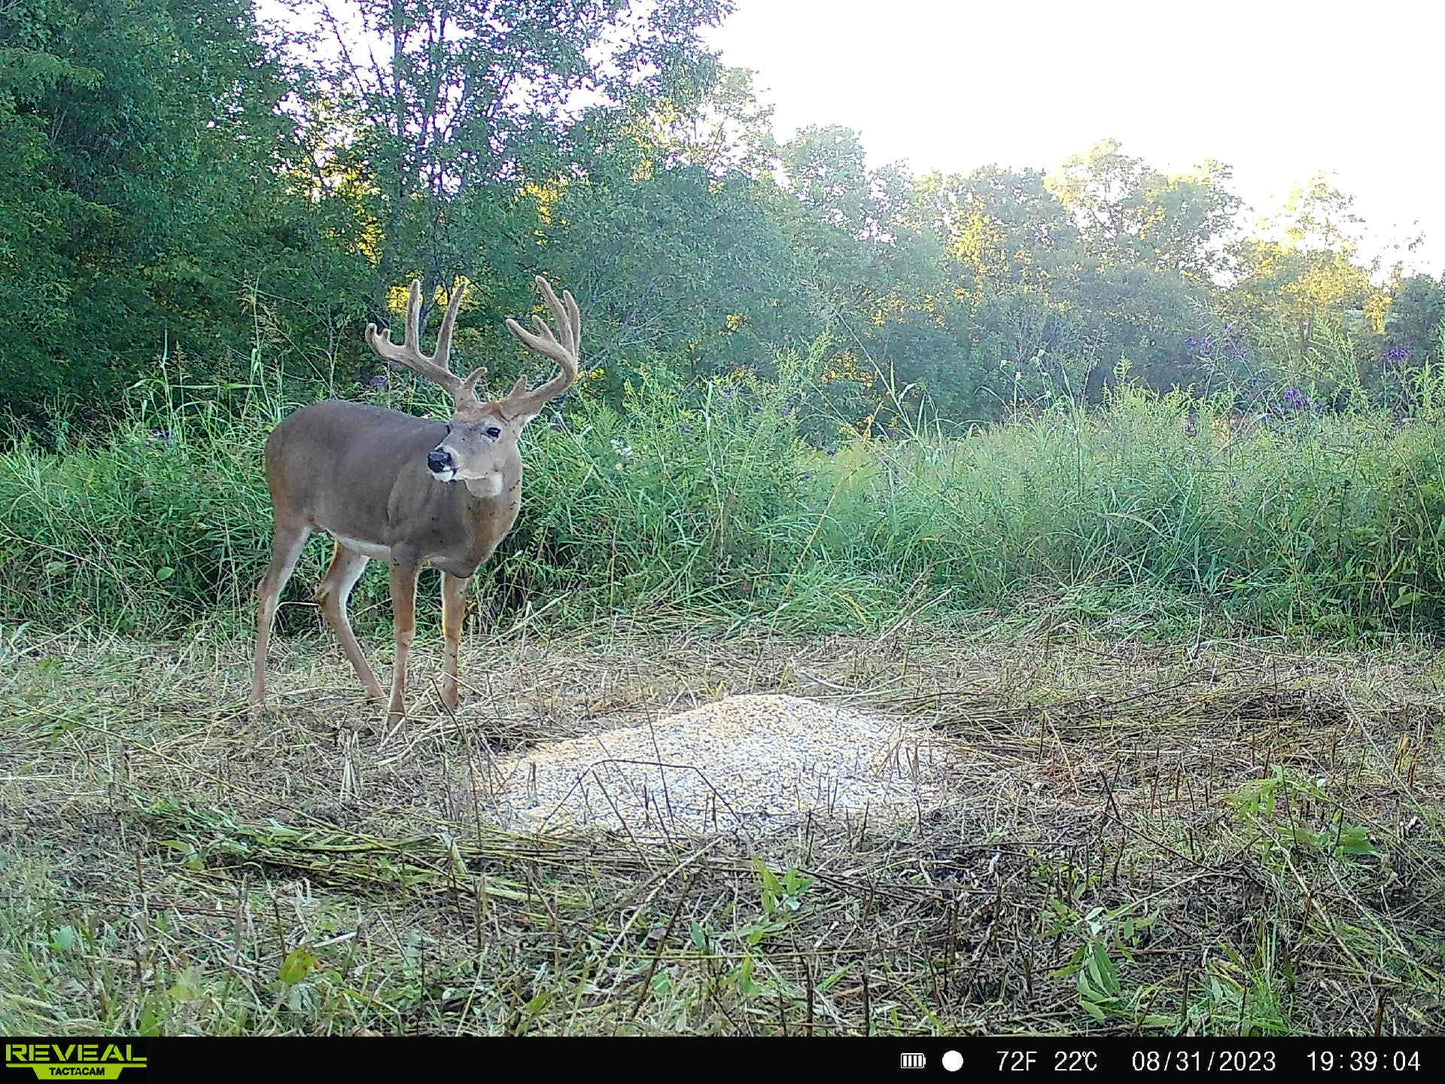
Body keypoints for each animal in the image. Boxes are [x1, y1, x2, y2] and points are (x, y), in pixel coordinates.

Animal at [250, 274, 581, 724]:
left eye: (493, 430)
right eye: (450, 424)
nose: (438, 457)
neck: (464, 528)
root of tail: (276, 432)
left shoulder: (461, 566)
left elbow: (451, 626)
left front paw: (452, 703)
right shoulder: (404, 548)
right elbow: (404, 629)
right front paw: (398, 715)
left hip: (352, 533)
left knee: (329, 592)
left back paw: (372, 691)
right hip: (289, 511)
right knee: (268, 591)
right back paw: (257, 701)